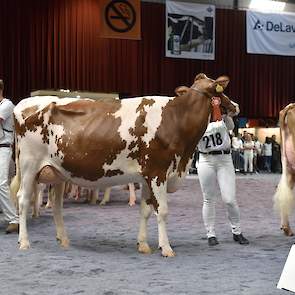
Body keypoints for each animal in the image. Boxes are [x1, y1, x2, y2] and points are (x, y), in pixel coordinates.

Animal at [12, 74, 238, 256]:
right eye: (221, 89)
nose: (236, 106)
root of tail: (25, 102)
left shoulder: (147, 176)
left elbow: (145, 211)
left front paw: (143, 245)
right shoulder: (158, 172)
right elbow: (163, 211)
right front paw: (166, 248)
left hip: (58, 172)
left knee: (56, 204)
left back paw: (64, 239)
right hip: (29, 165)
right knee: (23, 199)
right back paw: (24, 242)